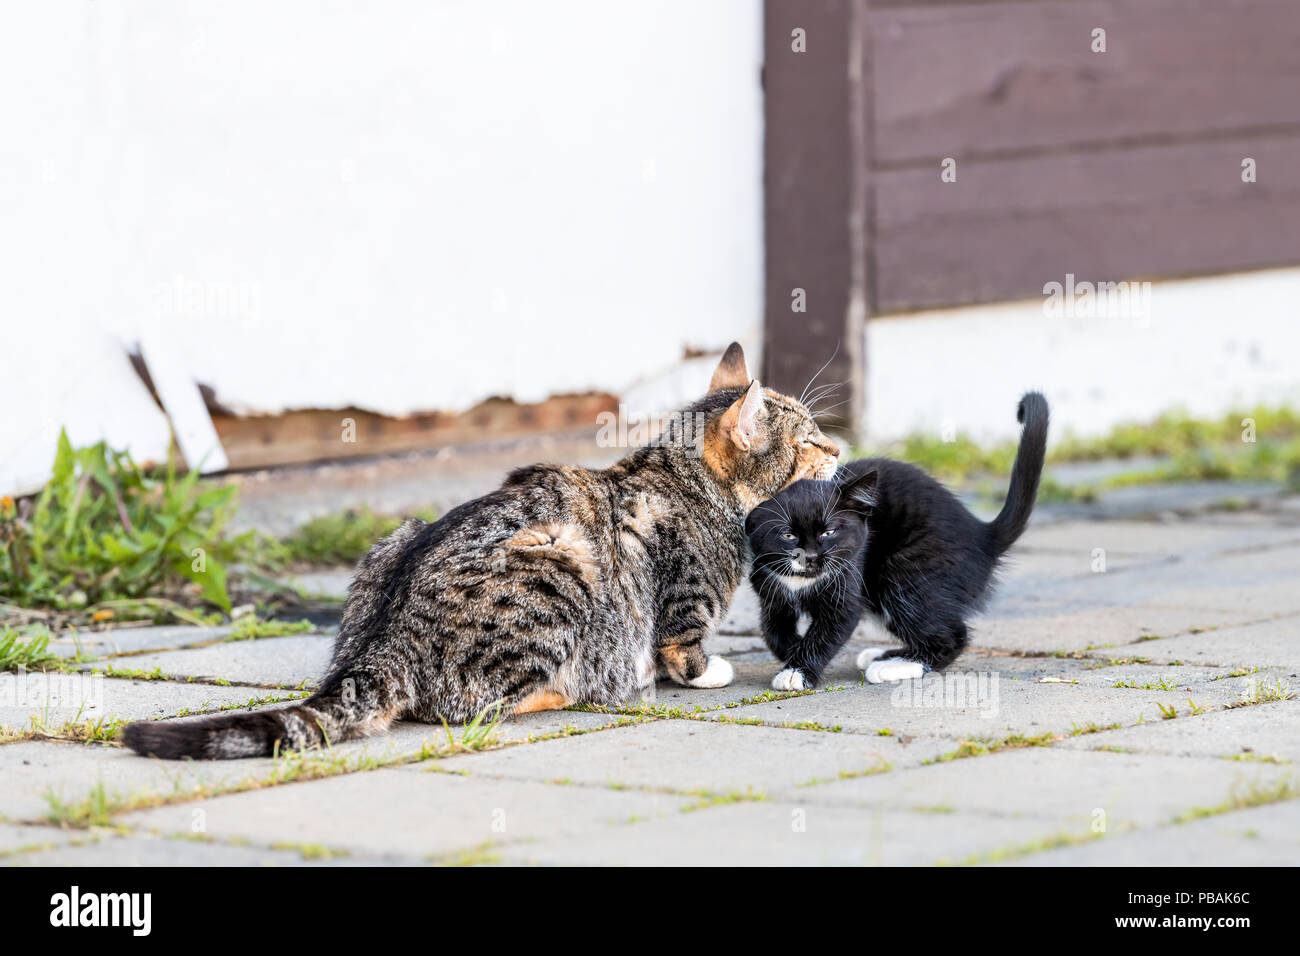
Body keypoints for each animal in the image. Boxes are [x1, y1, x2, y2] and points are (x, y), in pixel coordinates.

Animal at [122, 340, 832, 759]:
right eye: (806, 441)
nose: (838, 447)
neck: (691, 480)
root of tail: (382, 644)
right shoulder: (682, 599)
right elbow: (682, 644)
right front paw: (705, 671)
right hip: (558, 564)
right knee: (469, 705)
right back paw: (580, 687)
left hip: (399, 537)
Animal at [743, 395, 1045, 686]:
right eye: (788, 535)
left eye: (828, 532)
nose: (811, 557)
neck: (801, 581)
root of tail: (983, 536)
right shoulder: (769, 588)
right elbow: (772, 629)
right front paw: (791, 651)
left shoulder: (846, 586)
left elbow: (829, 630)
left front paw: (797, 671)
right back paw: (886, 655)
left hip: (907, 571)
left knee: (952, 635)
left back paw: (894, 666)